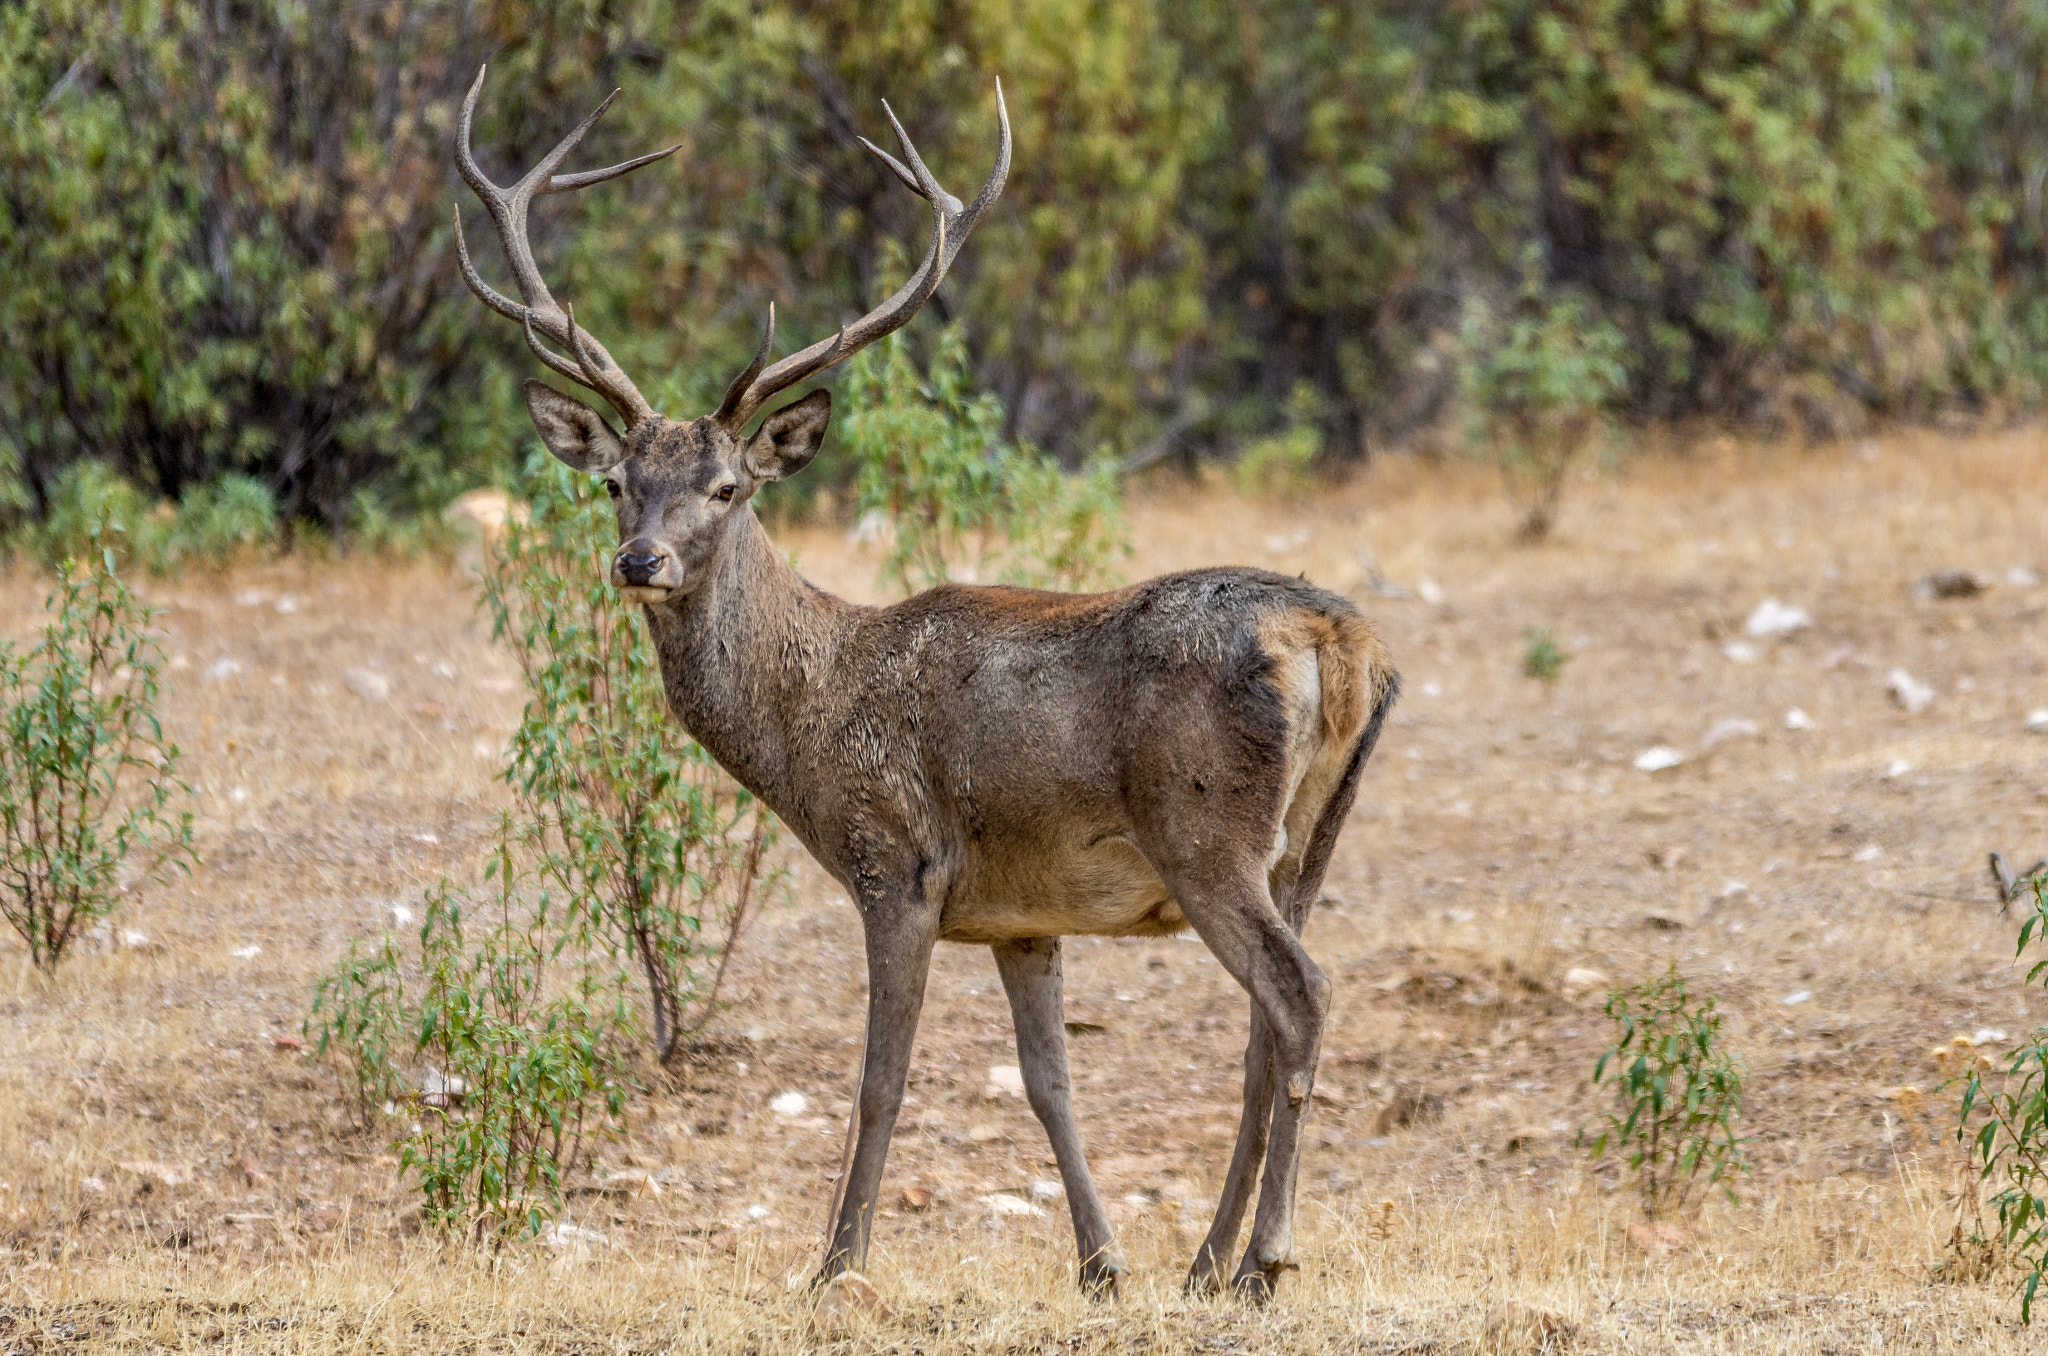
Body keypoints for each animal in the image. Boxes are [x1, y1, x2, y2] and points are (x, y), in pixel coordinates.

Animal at [454, 66, 1400, 1310]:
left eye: (725, 486)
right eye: (616, 480)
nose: (639, 561)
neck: (807, 723)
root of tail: (1337, 638)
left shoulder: (894, 863)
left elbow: (879, 1080)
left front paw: (835, 1264)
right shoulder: (1022, 910)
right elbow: (1048, 1080)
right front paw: (1100, 1264)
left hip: (1205, 831)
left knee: (1298, 997)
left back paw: (1262, 1261)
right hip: (1311, 837)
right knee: (1265, 1027)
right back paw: (1205, 1262)